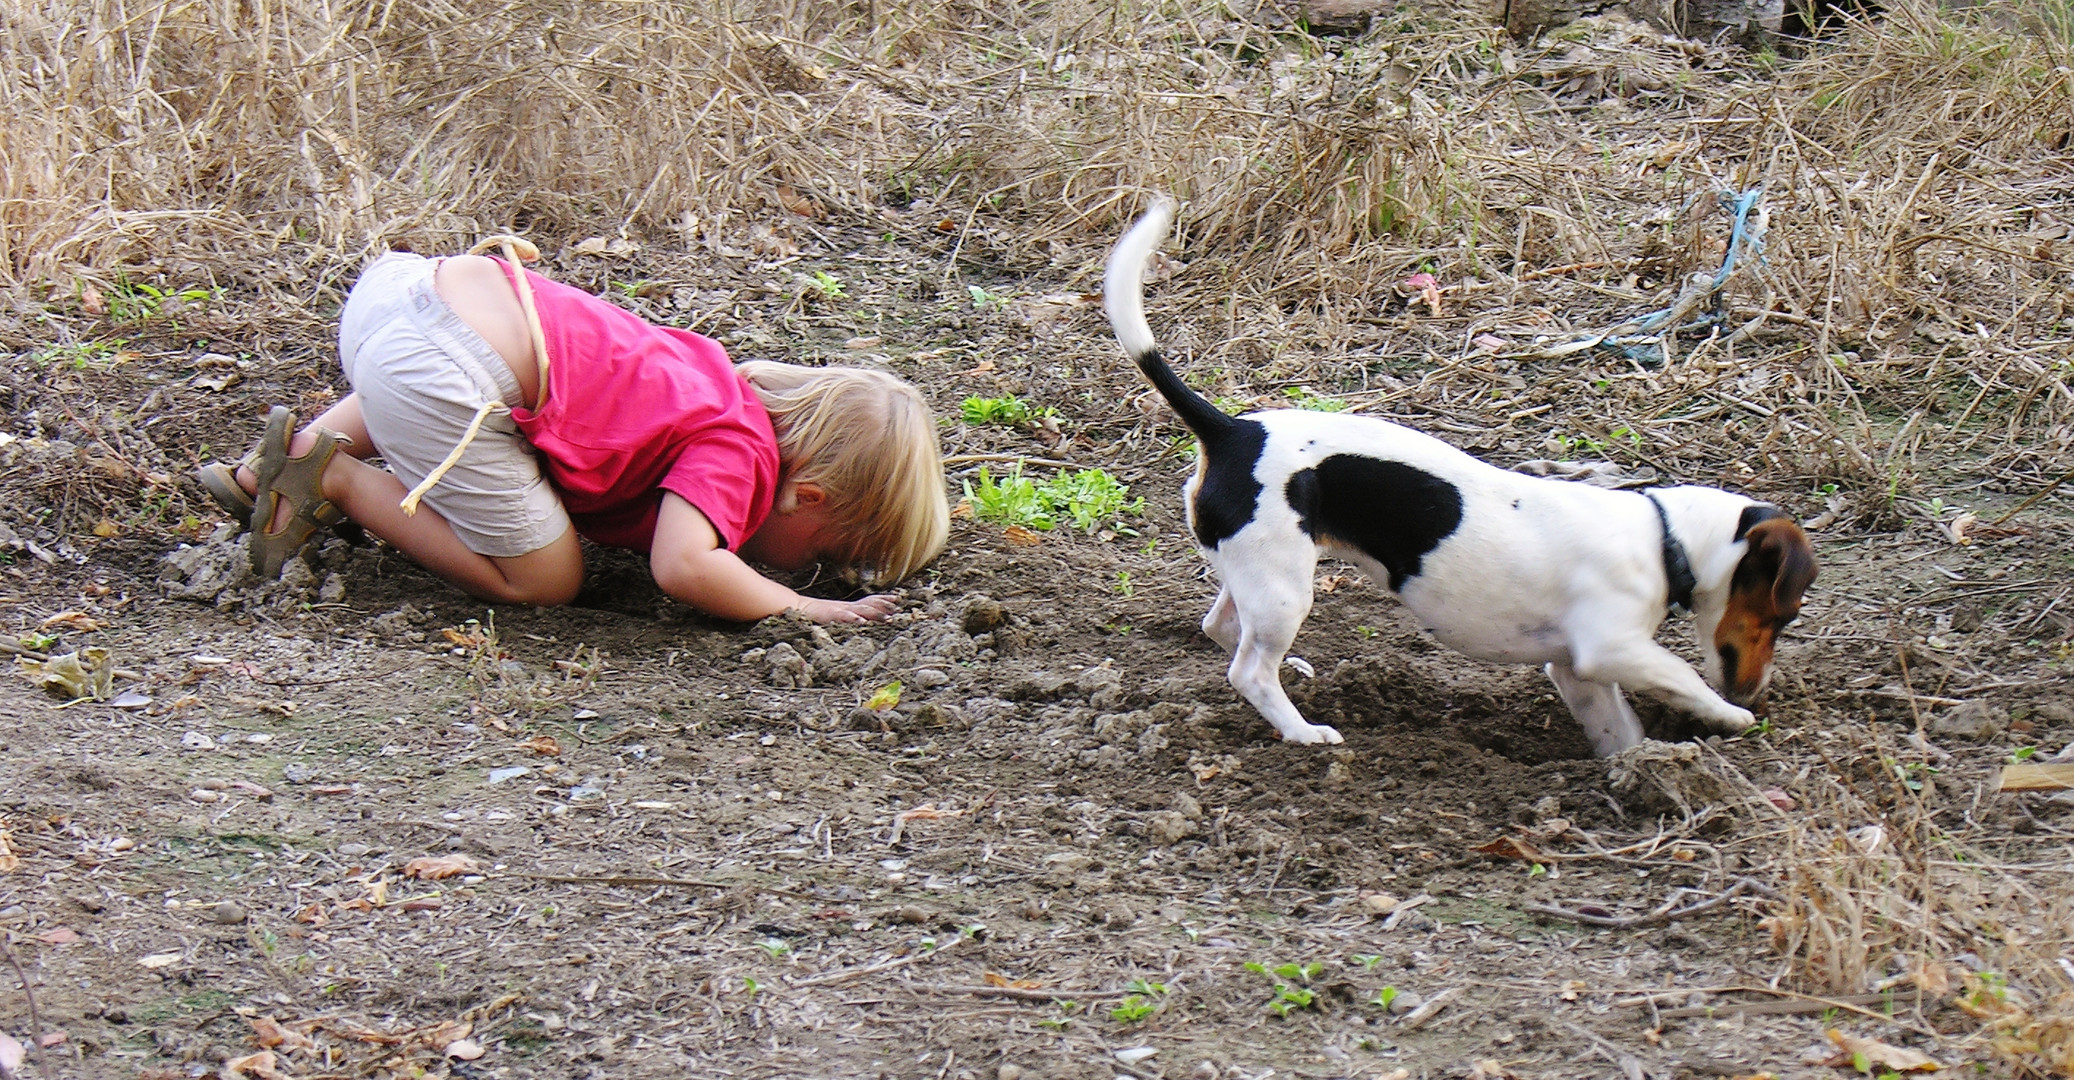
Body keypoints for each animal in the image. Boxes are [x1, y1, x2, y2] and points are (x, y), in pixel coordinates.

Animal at [1103, 197, 1816, 754]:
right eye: (1783, 614)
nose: (1761, 692)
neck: (1664, 535)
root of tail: (1230, 430)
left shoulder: (1577, 671)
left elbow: (1619, 729)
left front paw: (1638, 770)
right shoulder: (1612, 649)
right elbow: (1683, 677)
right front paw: (1731, 717)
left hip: (1256, 574)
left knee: (1223, 629)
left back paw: (1293, 673)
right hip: (1283, 588)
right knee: (1248, 670)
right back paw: (1303, 730)